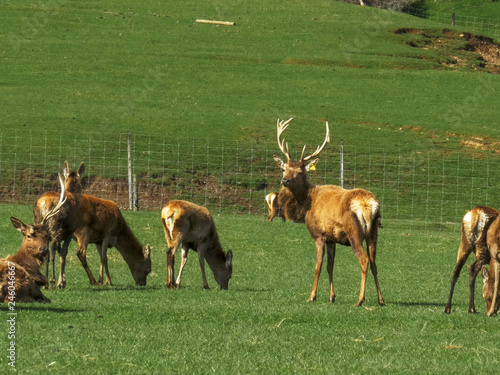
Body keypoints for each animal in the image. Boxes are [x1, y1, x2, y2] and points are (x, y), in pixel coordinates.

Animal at [274, 119, 382, 306]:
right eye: (284, 169)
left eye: (300, 172)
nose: (285, 180)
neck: (306, 205)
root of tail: (368, 205)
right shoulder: (332, 238)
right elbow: (330, 266)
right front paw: (332, 296)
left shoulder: (319, 234)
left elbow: (318, 265)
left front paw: (312, 296)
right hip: (373, 231)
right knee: (374, 261)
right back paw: (381, 299)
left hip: (354, 232)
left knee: (364, 260)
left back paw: (360, 299)